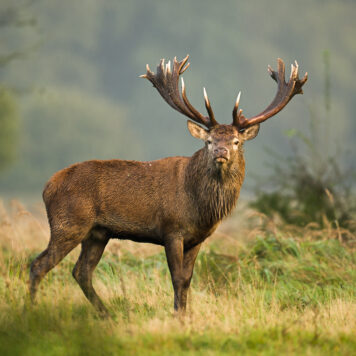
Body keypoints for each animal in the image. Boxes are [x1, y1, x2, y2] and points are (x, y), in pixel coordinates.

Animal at [29, 55, 308, 318]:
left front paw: (184, 314)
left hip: (98, 232)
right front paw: (178, 316)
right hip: (68, 223)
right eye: (208, 140)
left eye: (236, 141)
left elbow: (187, 280)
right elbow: (177, 278)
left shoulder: (197, 239)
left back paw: (106, 314)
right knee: (39, 264)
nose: (221, 151)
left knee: (81, 271)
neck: (200, 207)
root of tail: (47, 187)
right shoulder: (171, 230)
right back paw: (30, 311)